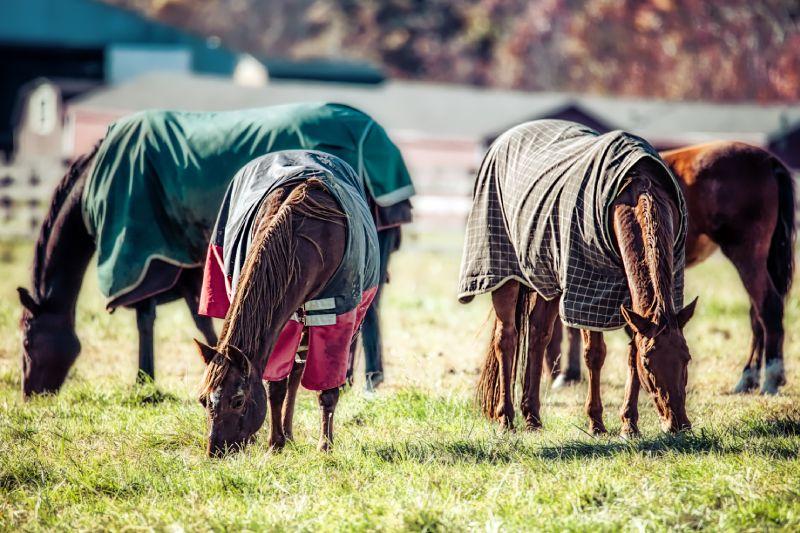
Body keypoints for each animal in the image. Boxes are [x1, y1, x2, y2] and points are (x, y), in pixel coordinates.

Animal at [18, 104, 412, 396]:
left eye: (26, 340)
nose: (30, 393)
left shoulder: (146, 257)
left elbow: (147, 318)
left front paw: (145, 378)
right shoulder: (186, 265)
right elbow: (199, 316)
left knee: (364, 312)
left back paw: (360, 380)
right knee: (366, 311)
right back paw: (357, 378)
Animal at [196, 151, 378, 458]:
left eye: (238, 401)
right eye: (203, 400)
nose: (215, 451)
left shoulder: (335, 317)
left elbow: (327, 387)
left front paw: (325, 445)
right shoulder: (286, 318)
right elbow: (277, 385)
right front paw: (275, 442)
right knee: (292, 374)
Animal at [466, 118, 696, 434]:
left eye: (687, 358)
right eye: (650, 364)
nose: (678, 424)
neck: (637, 189)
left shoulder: (625, 298)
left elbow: (630, 351)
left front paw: (629, 424)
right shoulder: (589, 290)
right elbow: (595, 354)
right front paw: (596, 422)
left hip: (547, 279)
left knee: (538, 335)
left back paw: (532, 416)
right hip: (503, 273)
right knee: (507, 339)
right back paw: (506, 418)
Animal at [544, 141, 792, 394]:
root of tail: (768, 161)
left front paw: (568, 375)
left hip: (746, 254)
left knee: (768, 307)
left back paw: (771, 379)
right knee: (756, 315)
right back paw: (748, 378)